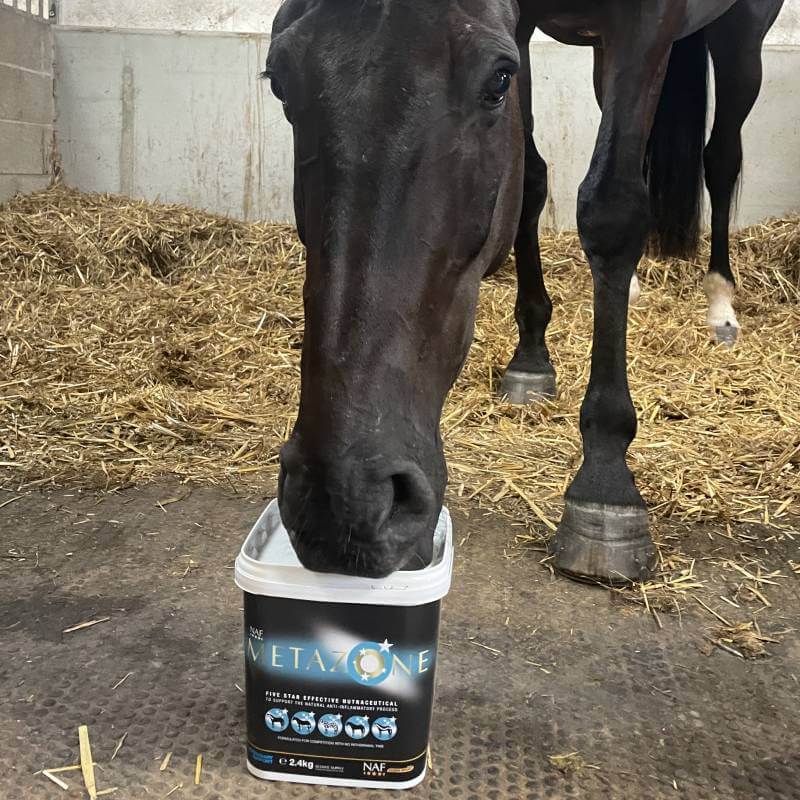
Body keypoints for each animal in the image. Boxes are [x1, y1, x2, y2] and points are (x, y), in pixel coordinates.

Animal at [266, 0, 784, 583]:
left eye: (496, 81)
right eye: (279, 80)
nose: (343, 500)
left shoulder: (644, 26)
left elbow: (611, 209)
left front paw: (606, 481)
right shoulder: (526, 27)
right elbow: (531, 180)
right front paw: (532, 355)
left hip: (743, 31)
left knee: (722, 157)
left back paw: (721, 304)